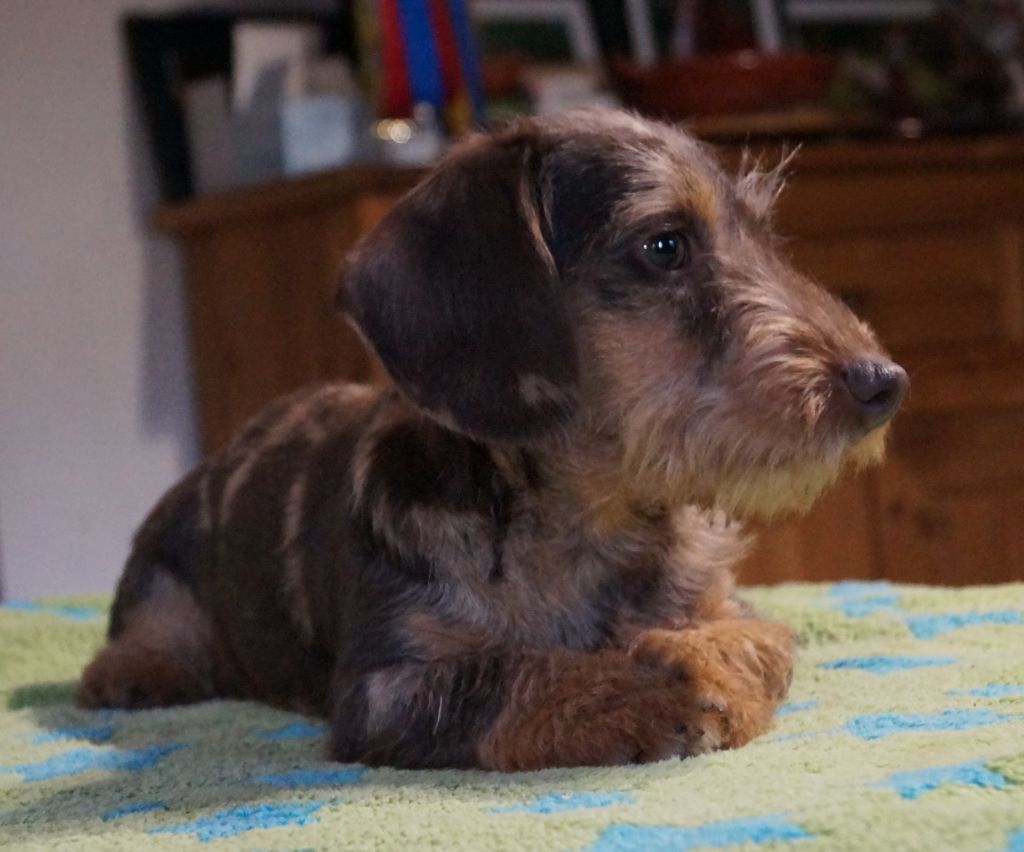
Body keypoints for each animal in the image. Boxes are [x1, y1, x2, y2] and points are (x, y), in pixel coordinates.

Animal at [78, 109, 908, 771]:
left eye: (766, 240)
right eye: (665, 245)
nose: (885, 383)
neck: (588, 523)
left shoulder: (733, 605)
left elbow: (752, 639)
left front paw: (696, 663)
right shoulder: (389, 687)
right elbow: (511, 672)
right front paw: (650, 690)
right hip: (159, 550)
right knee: (147, 619)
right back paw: (138, 668)